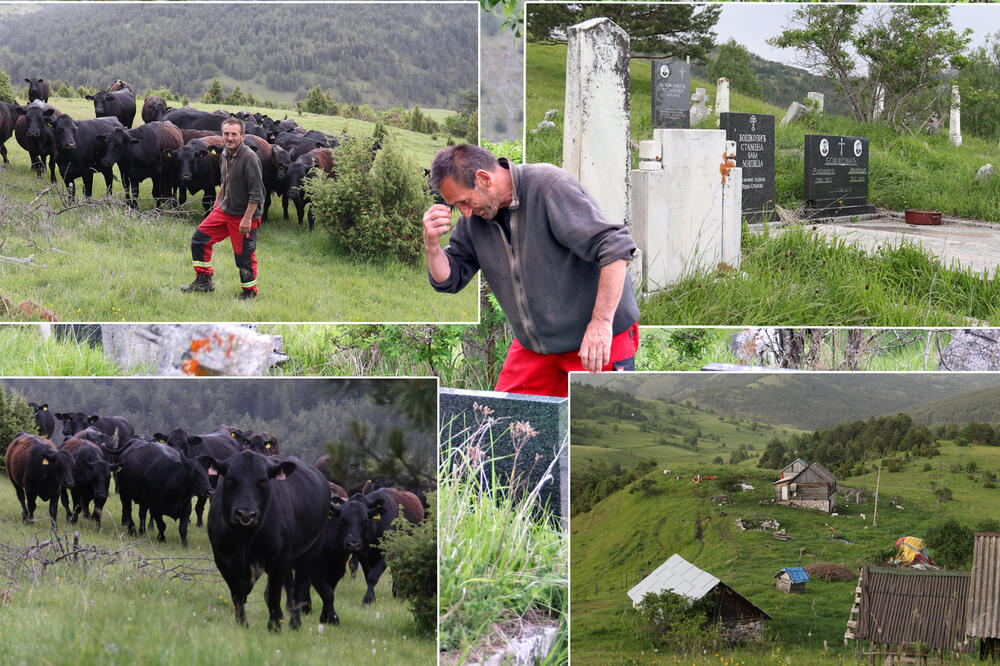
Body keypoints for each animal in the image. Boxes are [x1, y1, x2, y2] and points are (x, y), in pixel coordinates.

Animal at [200, 452, 336, 628]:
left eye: (263, 481)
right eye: (230, 479)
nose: (246, 514)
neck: (244, 538)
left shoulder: (280, 559)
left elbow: (273, 596)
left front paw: (274, 627)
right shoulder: (222, 558)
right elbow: (237, 593)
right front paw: (241, 625)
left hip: (310, 551)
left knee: (299, 589)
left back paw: (295, 623)